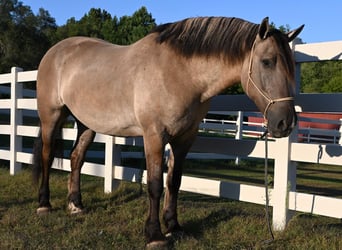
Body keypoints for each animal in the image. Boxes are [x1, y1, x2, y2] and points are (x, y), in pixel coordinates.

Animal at [33, 16, 304, 247]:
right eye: (267, 61)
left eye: (291, 66)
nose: (286, 123)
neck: (180, 73)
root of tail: (55, 52)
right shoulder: (154, 136)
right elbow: (155, 184)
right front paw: (155, 235)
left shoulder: (184, 138)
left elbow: (174, 182)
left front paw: (174, 226)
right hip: (51, 116)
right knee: (47, 156)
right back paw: (44, 204)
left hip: (86, 124)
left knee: (76, 158)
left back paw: (75, 205)